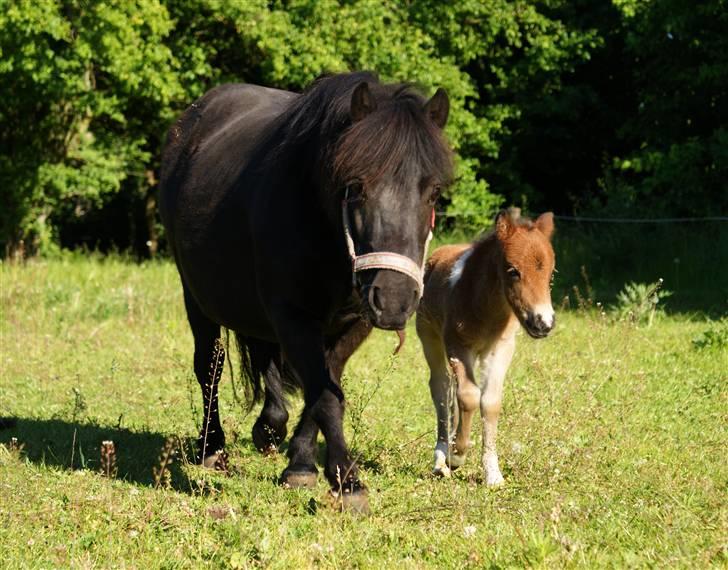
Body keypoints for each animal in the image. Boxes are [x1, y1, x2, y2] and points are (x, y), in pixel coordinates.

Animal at [161, 72, 450, 510]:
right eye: (355, 186)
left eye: (433, 192)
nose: (395, 300)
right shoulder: (293, 315)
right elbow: (325, 396)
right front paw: (348, 483)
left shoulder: (353, 323)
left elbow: (324, 388)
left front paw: (300, 463)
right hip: (197, 299)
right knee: (208, 368)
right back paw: (213, 448)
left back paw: (269, 427)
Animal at [418, 209, 556, 484]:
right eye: (512, 271)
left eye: (551, 274)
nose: (543, 322)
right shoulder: (458, 346)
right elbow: (469, 396)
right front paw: (456, 456)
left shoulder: (501, 349)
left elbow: (490, 401)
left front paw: (493, 474)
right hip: (430, 338)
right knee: (441, 388)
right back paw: (441, 458)